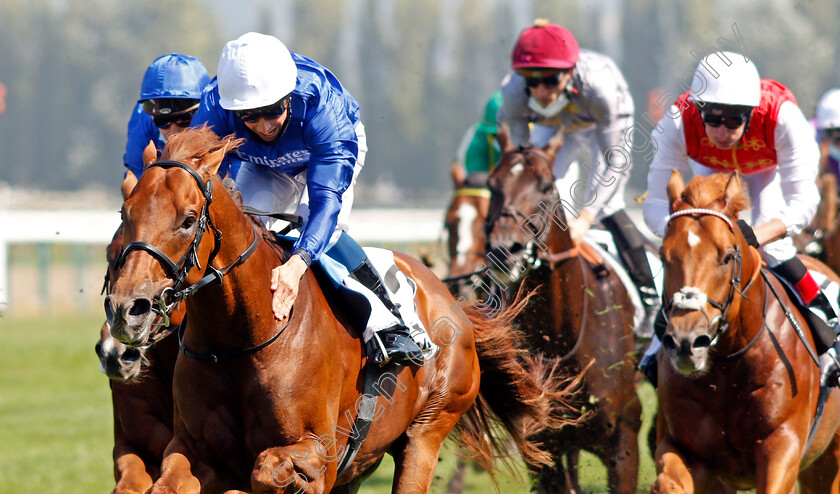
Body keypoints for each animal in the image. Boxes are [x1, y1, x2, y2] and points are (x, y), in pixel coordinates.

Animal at [103, 127, 564, 494]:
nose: (128, 310)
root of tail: (451, 301)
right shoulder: (192, 450)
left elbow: (268, 468)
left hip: (429, 429)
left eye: (188, 219)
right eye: (125, 214)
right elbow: (166, 482)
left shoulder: (320, 450)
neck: (240, 338)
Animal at [482, 128, 640, 494]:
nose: (504, 249)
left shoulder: (624, 442)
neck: (559, 335)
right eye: (492, 183)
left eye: (544, 184)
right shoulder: (543, 449)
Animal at [652, 169, 840, 490]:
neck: (729, 366)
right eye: (664, 257)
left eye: (727, 256)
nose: (686, 342)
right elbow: (670, 482)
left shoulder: (782, 446)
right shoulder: (684, 449)